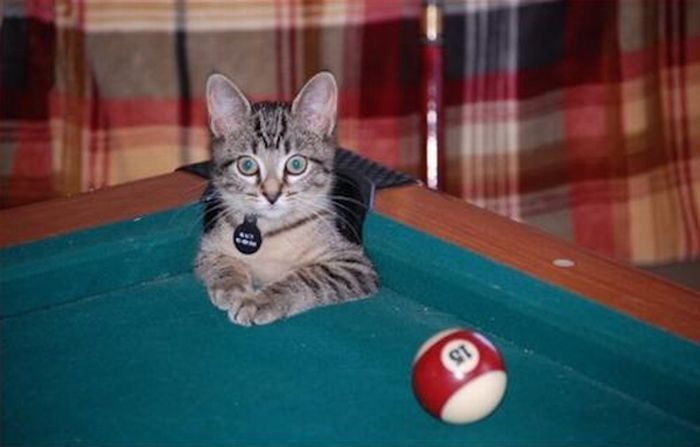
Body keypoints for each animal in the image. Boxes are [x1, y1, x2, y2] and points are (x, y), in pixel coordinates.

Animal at [194, 72, 380, 328]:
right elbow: (221, 262)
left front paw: (260, 300)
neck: (271, 231)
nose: (272, 195)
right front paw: (231, 286)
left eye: (296, 164)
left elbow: (309, 276)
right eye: (247, 165)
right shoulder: (210, 246)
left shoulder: (354, 264)